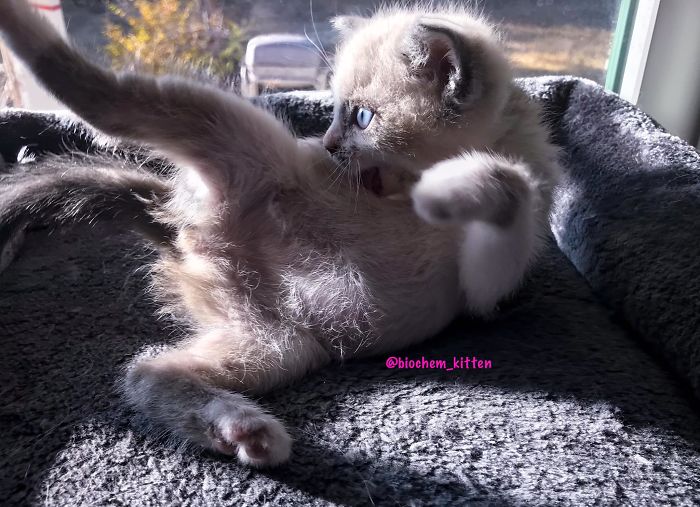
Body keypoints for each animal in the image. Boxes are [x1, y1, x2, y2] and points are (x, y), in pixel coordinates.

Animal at [0, 0, 556, 468]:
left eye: (362, 117)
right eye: (333, 111)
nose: (326, 144)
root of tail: (191, 234)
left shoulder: (482, 288)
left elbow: (508, 186)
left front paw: (449, 188)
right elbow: (505, 180)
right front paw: (444, 187)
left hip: (278, 345)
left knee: (146, 373)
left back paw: (243, 431)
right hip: (243, 138)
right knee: (102, 97)